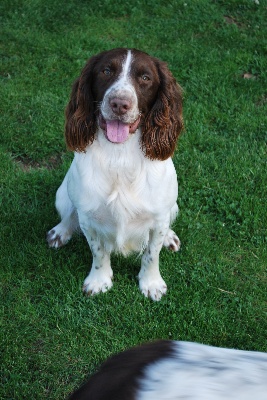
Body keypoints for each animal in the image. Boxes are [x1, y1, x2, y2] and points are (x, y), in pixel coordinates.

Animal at [47, 47, 184, 300]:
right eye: (106, 71)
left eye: (145, 77)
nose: (119, 104)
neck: (120, 154)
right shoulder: (89, 217)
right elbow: (99, 252)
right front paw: (99, 280)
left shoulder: (159, 216)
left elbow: (152, 254)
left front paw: (151, 283)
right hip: (62, 194)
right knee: (68, 216)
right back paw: (60, 232)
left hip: (173, 205)